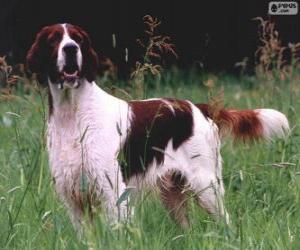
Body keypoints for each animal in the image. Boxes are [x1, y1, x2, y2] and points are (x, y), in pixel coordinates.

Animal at [27, 23, 290, 230]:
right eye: (53, 39)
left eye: (78, 39)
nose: (71, 48)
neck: (74, 114)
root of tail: (197, 107)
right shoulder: (74, 199)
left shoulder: (113, 192)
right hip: (173, 192)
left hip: (206, 186)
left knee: (225, 222)